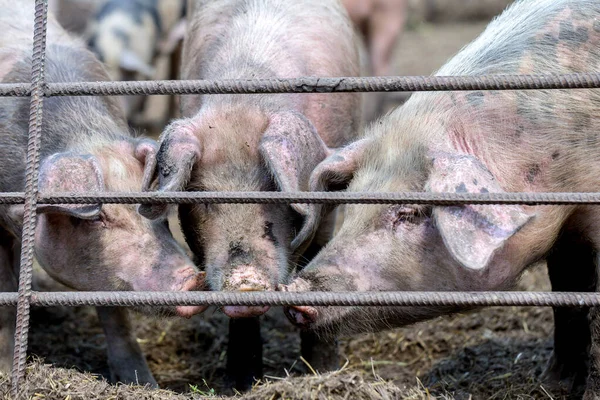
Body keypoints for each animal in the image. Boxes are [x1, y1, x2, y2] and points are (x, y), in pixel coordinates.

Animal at [0, 0, 207, 388]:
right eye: (99, 219)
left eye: (155, 212)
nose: (193, 279)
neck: (85, 135)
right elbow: (5, 296)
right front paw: (5, 372)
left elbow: (115, 313)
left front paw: (141, 382)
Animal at [284, 1, 600, 398]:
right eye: (351, 206)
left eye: (410, 212)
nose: (295, 292)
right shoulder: (569, 229)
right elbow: (567, 302)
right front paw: (551, 383)